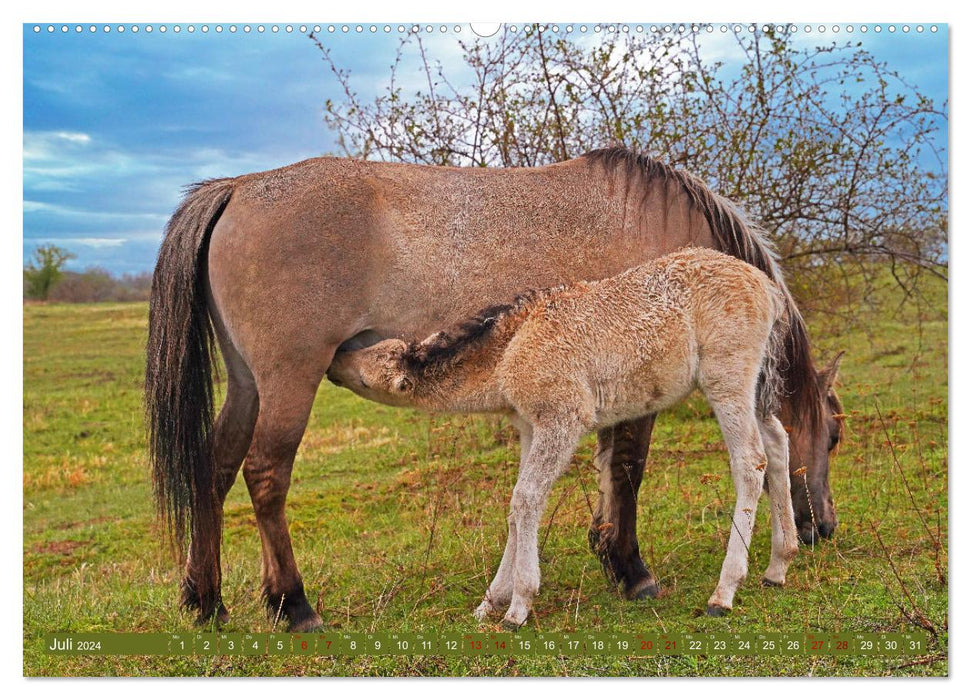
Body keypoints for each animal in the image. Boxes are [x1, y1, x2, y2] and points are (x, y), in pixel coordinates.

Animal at [330, 247, 800, 628]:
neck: (509, 351)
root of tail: (770, 290)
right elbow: (518, 505)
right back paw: (778, 566)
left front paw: (517, 607)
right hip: (756, 385)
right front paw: (490, 602)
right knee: (778, 444)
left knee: (750, 461)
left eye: (368, 369)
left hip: (726, 378)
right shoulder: (529, 427)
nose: (336, 357)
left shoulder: (563, 419)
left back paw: (724, 592)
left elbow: (525, 499)